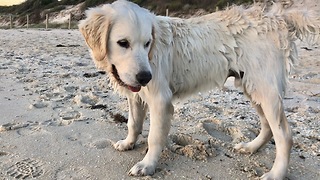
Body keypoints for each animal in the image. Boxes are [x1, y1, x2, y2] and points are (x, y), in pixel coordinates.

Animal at [79, 0, 318, 179]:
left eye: (147, 43)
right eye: (123, 43)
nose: (146, 77)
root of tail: (277, 18)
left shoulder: (160, 99)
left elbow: (154, 137)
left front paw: (147, 165)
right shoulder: (136, 94)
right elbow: (133, 124)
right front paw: (128, 143)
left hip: (264, 88)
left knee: (284, 135)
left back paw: (276, 174)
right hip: (253, 88)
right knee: (268, 126)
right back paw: (251, 147)